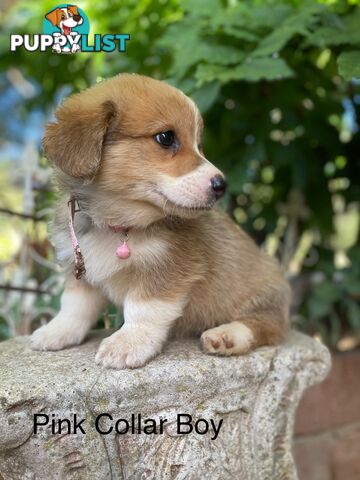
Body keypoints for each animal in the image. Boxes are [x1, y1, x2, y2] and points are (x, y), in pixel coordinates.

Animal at [29, 74, 292, 368]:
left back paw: (226, 336)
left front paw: (127, 343)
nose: (221, 185)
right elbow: (74, 306)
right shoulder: (80, 271)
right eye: (166, 137)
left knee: (266, 326)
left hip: (265, 297)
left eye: (198, 144)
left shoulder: (167, 272)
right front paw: (57, 331)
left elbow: (143, 310)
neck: (118, 226)